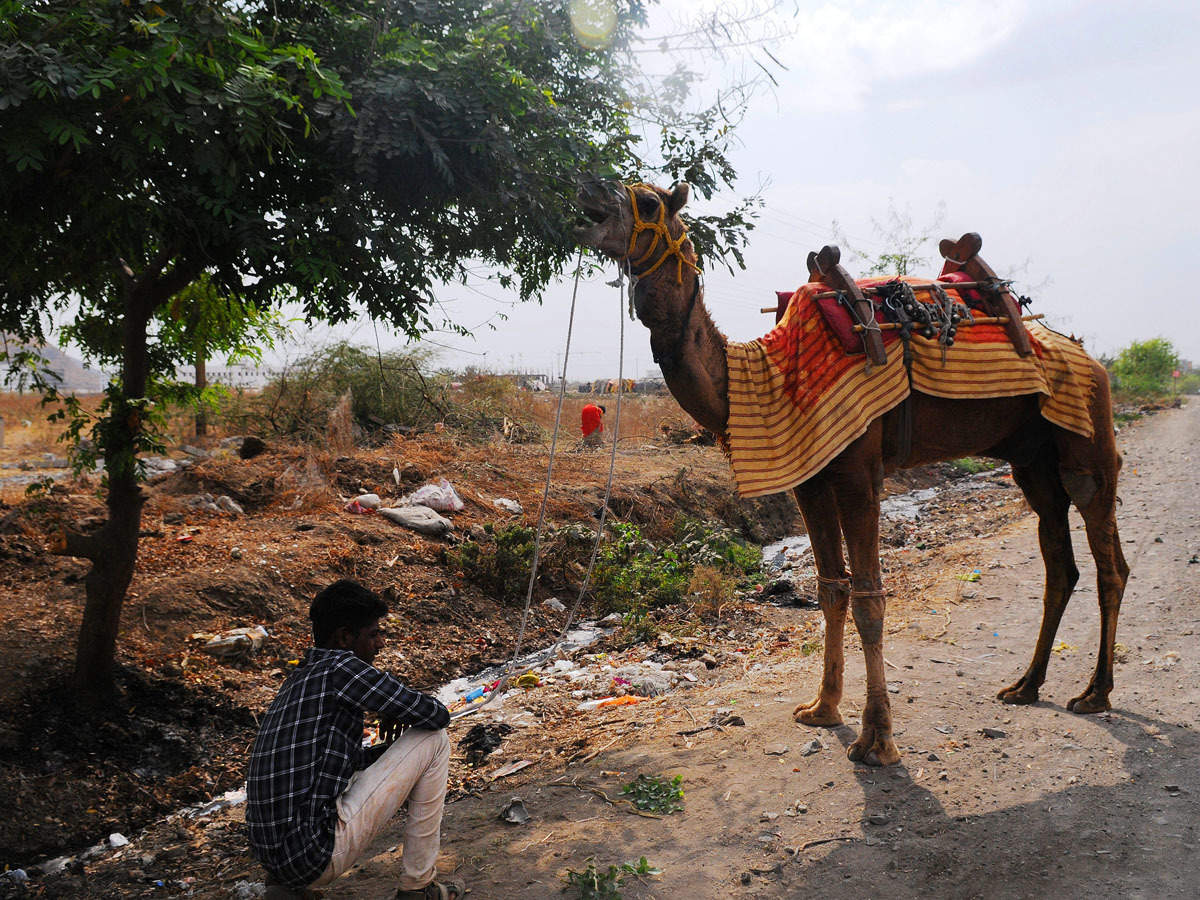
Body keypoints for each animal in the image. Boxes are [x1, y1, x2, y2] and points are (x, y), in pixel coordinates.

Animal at [576, 181, 1128, 768]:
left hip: (1087, 436)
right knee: (1060, 564)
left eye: (648, 202)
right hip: (1032, 460)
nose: (590, 198)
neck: (765, 374)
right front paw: (821, 707)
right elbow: (830, 590)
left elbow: (869, 598)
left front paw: (877, 739)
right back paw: (1026, 685)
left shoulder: (861, 474)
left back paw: (1095, 693)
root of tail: (1090, 359)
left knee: (1109, 560)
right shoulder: (811, 480)